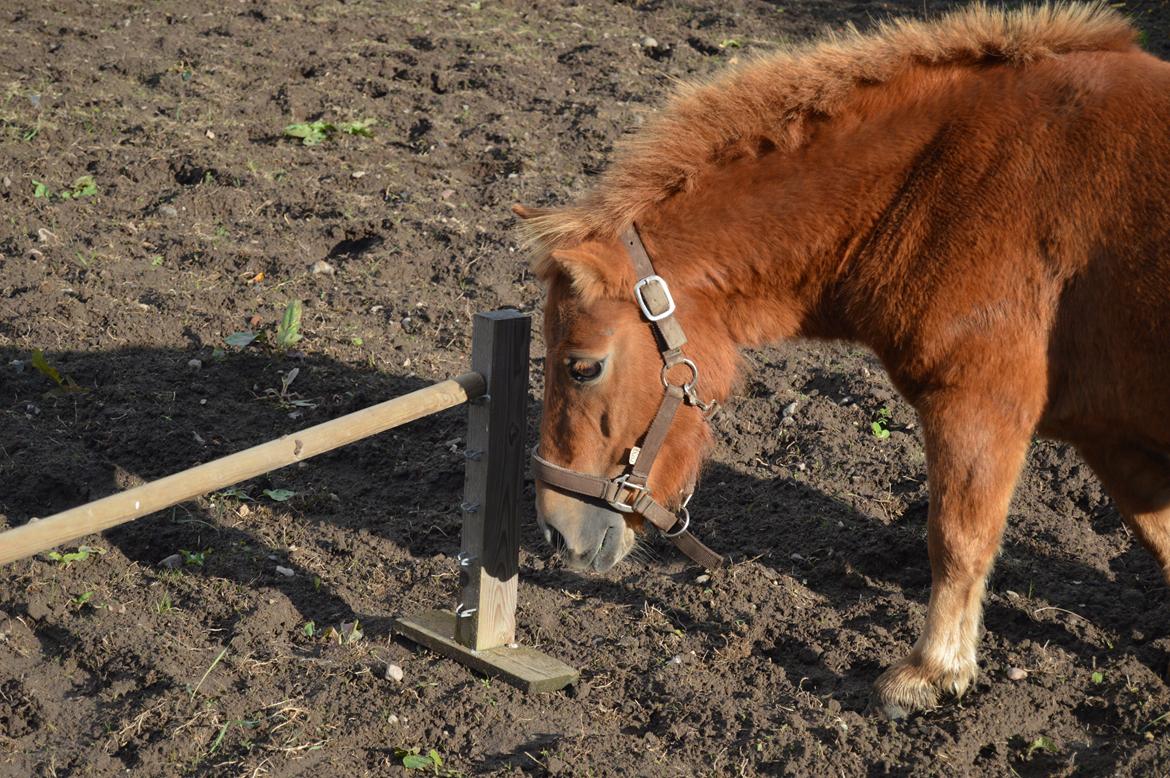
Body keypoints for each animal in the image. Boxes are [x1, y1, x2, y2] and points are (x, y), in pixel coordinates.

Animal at [517, 4, 1170, 715]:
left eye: (582, 366)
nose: (555, 532)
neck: (947, 179)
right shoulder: (1112, 438)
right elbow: (1158, 537)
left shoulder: (977, 405)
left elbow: (958, 537)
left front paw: (931, 671)